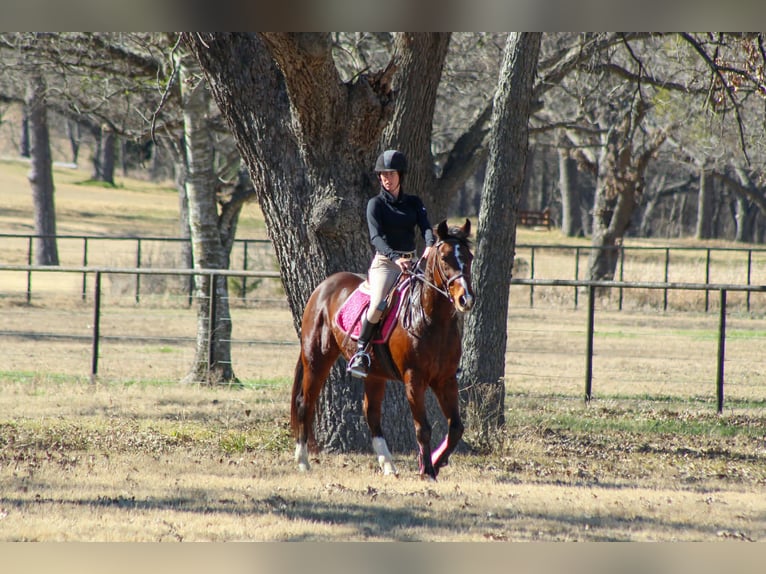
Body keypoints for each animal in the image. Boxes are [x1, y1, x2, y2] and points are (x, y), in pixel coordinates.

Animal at [290, 219, 475, 480]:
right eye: (444, 258)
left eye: (469, 256)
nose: (465, 299)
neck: (430, 319)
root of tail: (323, 287)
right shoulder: (414, 379)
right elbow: (423, 428)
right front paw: (427, 470)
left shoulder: (446, 380)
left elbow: (456, 427)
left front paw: (436, 462)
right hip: (317, 359)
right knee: (305, 403)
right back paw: (303, 461)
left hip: (375, 374)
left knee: (371, 413)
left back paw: (387, 464)